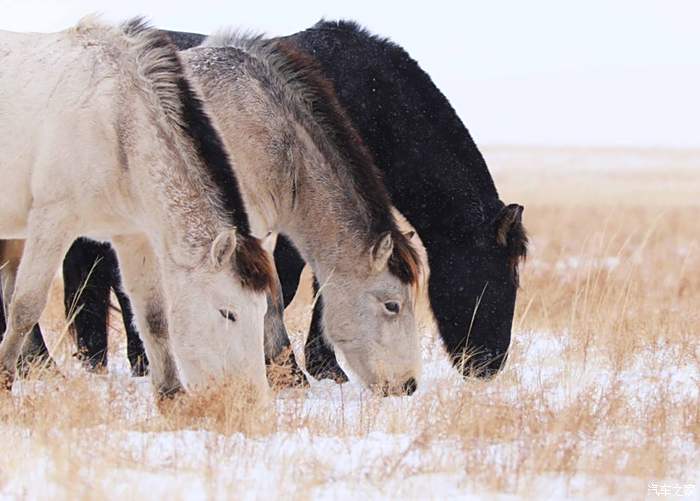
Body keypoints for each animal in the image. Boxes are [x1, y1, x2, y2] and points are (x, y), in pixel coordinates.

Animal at [0, 17, 274, 398]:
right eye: (227, 313)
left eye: (261, 311)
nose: (252, 399)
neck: (116, 119)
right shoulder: (52, 220)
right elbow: (26, 306)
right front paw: (3, 381)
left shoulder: (133, 236)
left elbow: (154, 318)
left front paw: (171, 396)